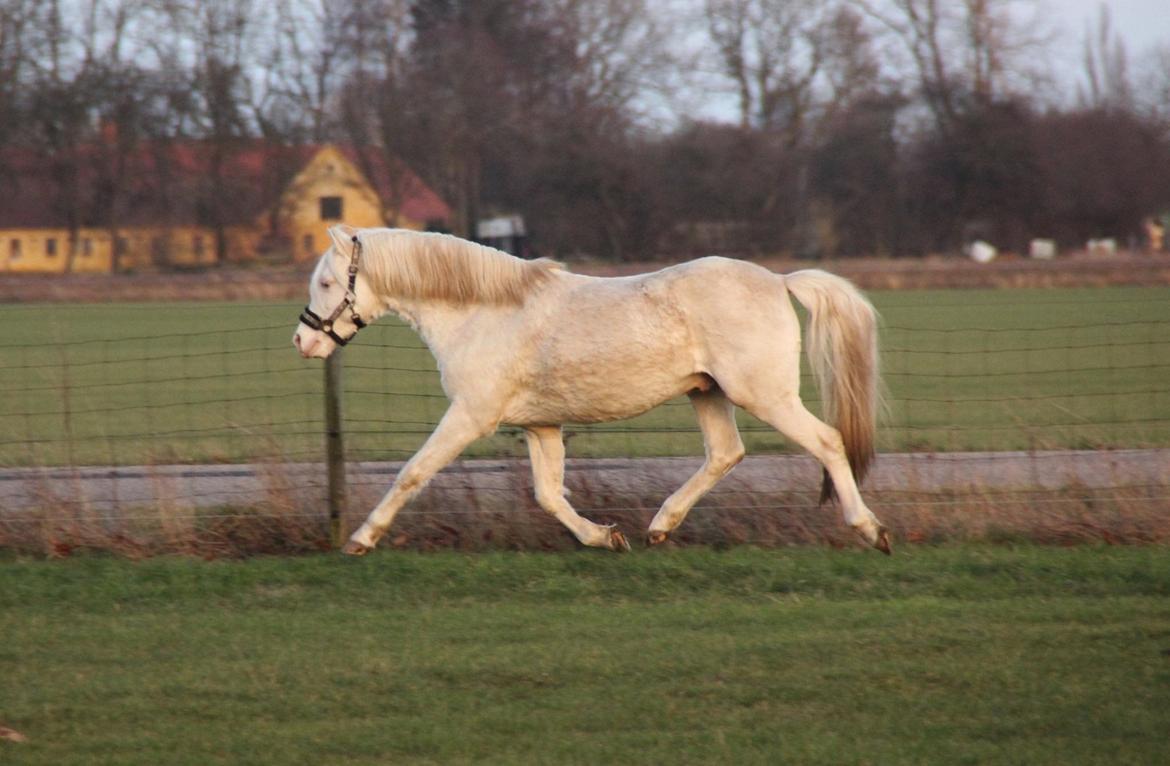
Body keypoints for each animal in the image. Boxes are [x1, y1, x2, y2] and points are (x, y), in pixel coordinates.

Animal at [292, 224, 884, 554]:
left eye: (326, 282)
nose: (303, 340)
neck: (483, 313)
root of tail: (780, 280)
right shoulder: (539, 425)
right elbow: (549, 494)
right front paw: (605, 537)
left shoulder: (469, 415)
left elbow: (412, 473)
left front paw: (361, 539)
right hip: (707, 392)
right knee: (725, 453)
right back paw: (659, 528)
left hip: (764, 395)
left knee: (827, 442)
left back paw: (870, 530)